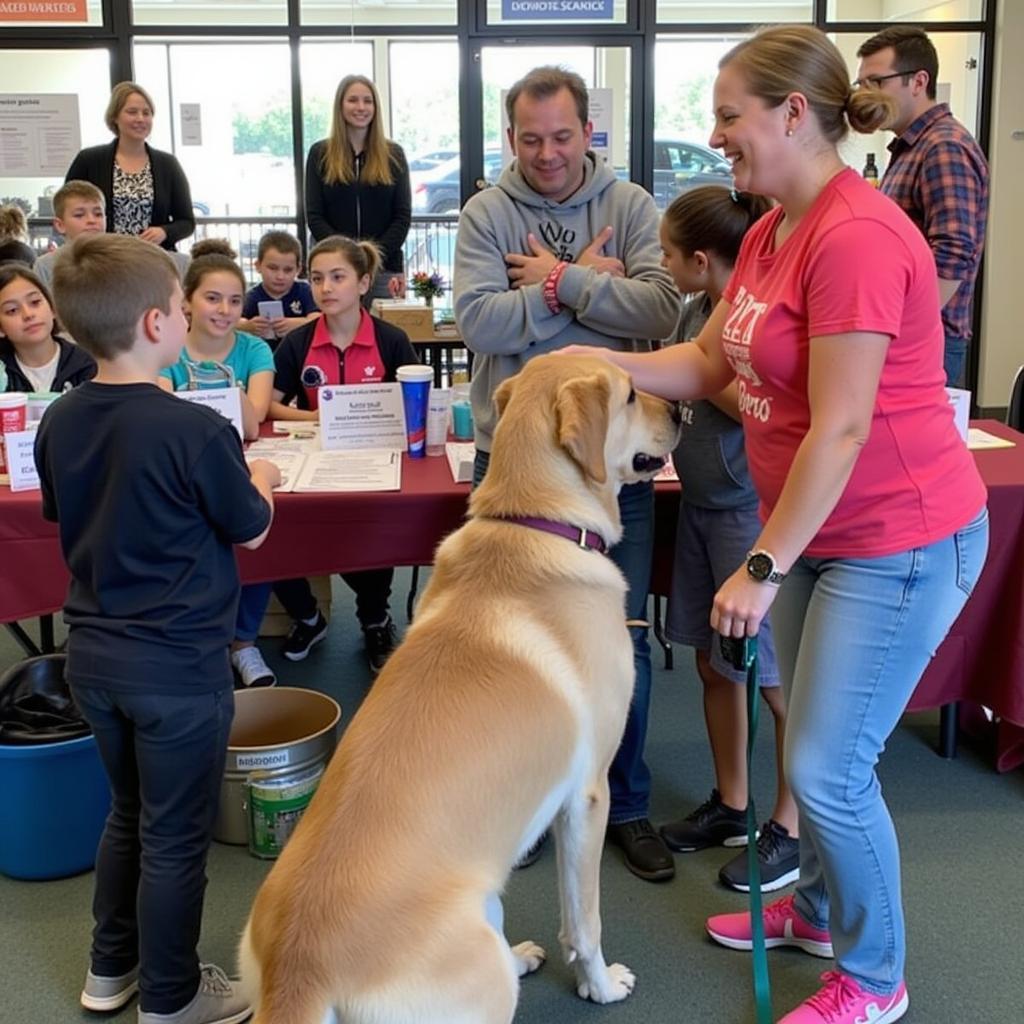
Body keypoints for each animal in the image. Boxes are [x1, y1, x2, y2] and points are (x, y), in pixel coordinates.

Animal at [239, 354, 679, 1024]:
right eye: (631, 395)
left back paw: (521, 954)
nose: (682, 411)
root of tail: (300, 970)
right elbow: (585, 923)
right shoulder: (587, 797)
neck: (536, 522)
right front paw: (600, 986)